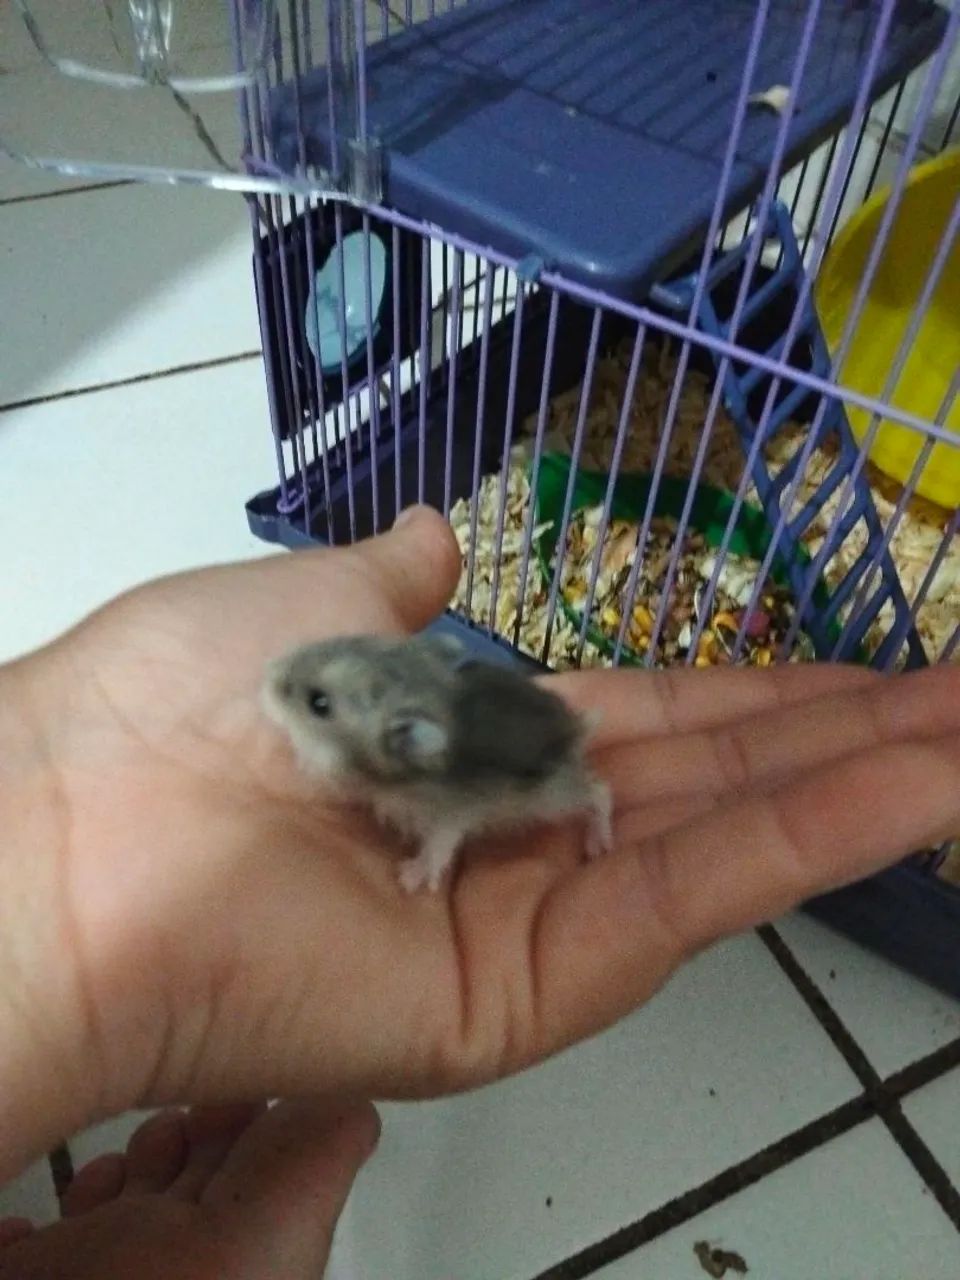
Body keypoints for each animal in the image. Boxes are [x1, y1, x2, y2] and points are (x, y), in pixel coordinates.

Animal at [262, 632, 613, 892]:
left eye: (318, 703)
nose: (265, 678)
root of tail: (576, 729)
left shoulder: (449, 817)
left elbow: (438, 848)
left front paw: (408, 878)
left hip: (550, 797)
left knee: (599, 793)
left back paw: (598, 845)